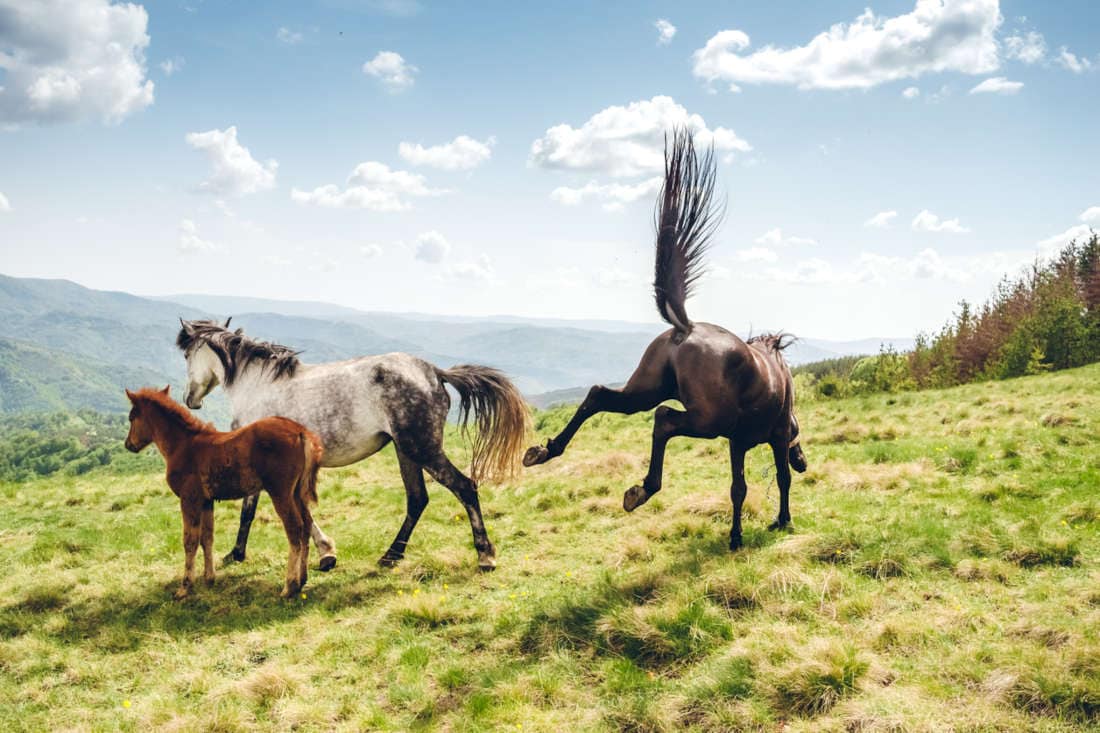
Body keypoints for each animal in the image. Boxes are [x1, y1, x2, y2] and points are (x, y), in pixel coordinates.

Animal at [123, 386, 323, 598]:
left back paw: (289, 586)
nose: (128, 444)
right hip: (297, 493)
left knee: (294, 528)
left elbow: (190, 541)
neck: (183, 445)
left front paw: (185, 587)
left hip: (280, 492)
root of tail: (300, 431)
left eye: (131, 417)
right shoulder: (206, 501)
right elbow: (207, 538)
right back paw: (302, 579)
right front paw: (209, 578)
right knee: (306, 525)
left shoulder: (189, 499)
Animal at [176, 320, 529, 571]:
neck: (257, 388)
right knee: (417, 499)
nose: (189, 399)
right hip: (405, 451)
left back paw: (485, 556)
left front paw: (235, 554)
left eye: (186, 355)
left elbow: (251, 511)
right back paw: (391, 556)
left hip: (422, 449)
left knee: (465, 487)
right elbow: (296, 510)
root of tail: (433, 372)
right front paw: (327, 554)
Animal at [523, 128, 808, 550]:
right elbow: (773, 480)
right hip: (706, 419)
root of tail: (685, 328)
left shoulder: (736, 442)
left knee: (600, 396)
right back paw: (641, 488)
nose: (803, 460)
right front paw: (767, 526)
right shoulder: (765, 438)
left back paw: (548, 451)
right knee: (663, 419)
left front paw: (743, 531)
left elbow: (738, 487)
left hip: (646, 391)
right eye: (798, 436)